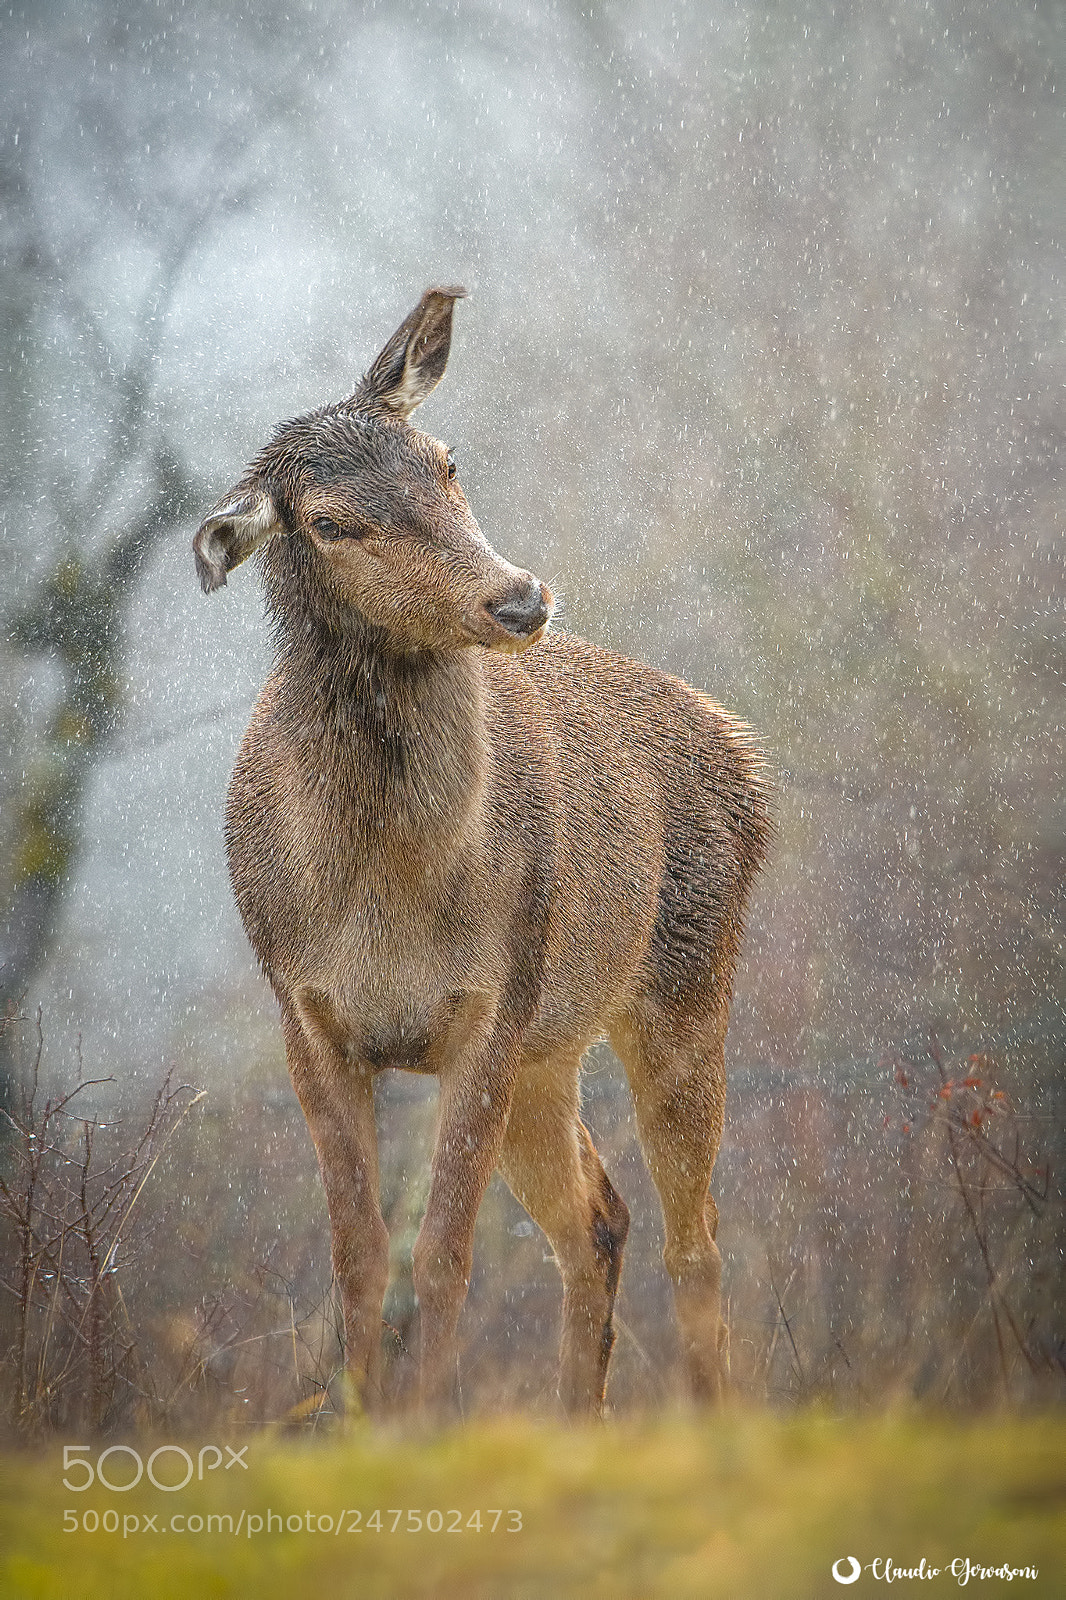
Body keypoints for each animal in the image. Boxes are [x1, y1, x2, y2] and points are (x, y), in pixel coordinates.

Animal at [192, 286, 770, 1416]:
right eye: (329, 522)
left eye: (446, 460)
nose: (519, 598)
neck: (384, 899)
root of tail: (741, 750)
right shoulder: (306, 1014)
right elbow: (360, 1258)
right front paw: (365, 1422)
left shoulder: (492, 1000)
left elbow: (442, 1254)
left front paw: (423, 1425)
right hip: (556, 1045)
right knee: (601, 1217)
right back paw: (580, 1422)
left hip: (682, 981)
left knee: (696, 1237)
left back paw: (715, 1424)